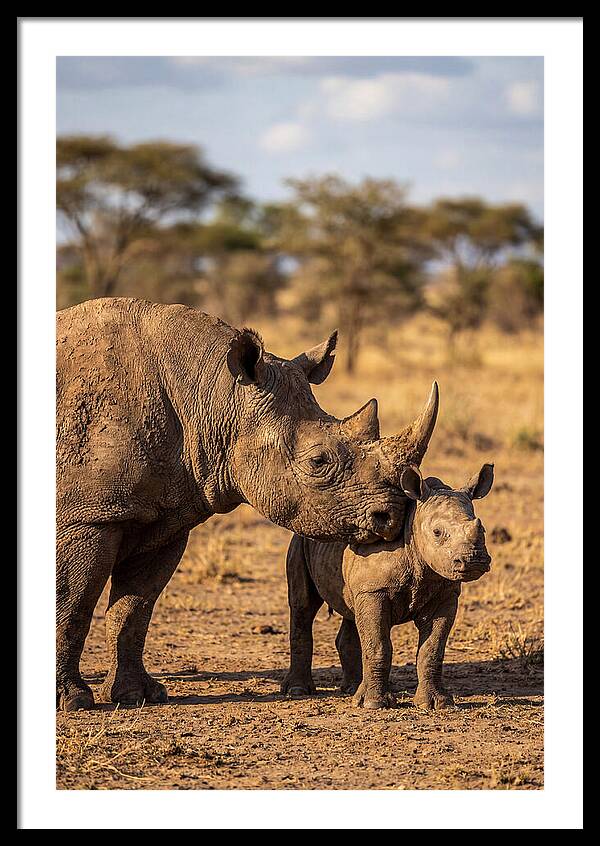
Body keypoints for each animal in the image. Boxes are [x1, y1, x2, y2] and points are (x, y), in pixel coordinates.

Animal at [56, 297, 416, 711]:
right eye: (318, 461)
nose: (392, 516)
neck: (214, 396)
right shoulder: (89, 517)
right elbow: (72, 603)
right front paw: (73, 701)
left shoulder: (166, 518)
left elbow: (134, 609)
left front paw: (137, 696)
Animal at [281, 460, 494, 710]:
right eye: (437, 532)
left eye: (483, 530)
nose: (474, 560)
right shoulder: (375, 590)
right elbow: (378, 645)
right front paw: (374, 704)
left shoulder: (445, 594)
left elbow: (432, 649)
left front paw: (436, 703)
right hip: (300, 540)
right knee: (303, 606)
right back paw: (298, 690)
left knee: (351, 612)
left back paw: (352, 689)